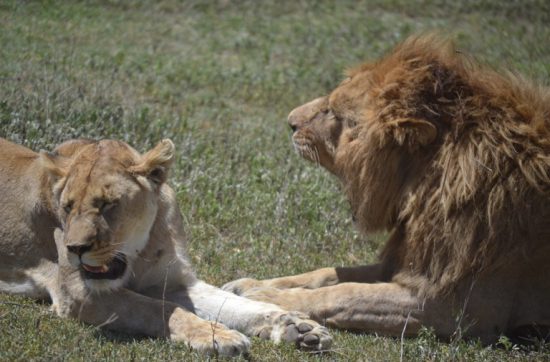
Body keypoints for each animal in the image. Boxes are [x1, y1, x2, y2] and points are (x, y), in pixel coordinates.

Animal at [0, 138, 332, 356]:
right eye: (67, 207)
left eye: (108, 204)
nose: (75, 248)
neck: (140, 252)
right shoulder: (78, 293)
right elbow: (159, 308)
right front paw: (217, 335)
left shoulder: (173, 282)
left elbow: (235, 304)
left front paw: (297, 327)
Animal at [223, 35, 550, 344]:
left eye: (334, 113)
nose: (290, 121)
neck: (425, 190)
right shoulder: (407, 262)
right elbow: (329, 274)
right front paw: (251, 285)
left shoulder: (461, 309)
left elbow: (346, 293)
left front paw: (266, 297)